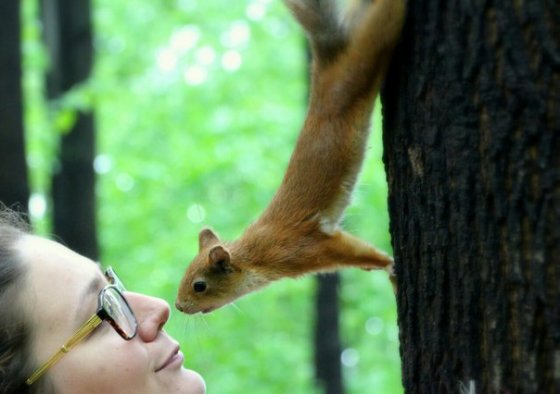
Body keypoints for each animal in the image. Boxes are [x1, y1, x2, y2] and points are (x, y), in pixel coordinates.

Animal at [175, 0, 402, 314]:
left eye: (199, 285)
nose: (179, 306)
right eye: (184, 275)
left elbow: (359, 251)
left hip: (368, 53)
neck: (256, 257)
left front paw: (389, 265)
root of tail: (328, 62)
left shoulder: (308, 247)